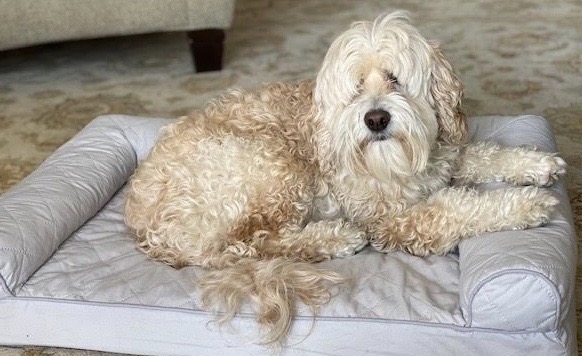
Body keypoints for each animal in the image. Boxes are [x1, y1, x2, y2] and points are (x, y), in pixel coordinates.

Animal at [125, 11, 568, 344]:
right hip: (272, 166)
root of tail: (144, 228)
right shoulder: (393, 220)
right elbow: (457, 208)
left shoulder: (446, 155)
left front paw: (535, 163)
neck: (400, 160)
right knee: (261, 241)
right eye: (355, 88)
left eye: (394, 78)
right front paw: (526, 203)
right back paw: (335, 237)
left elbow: (482, 154)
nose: (376, 118)